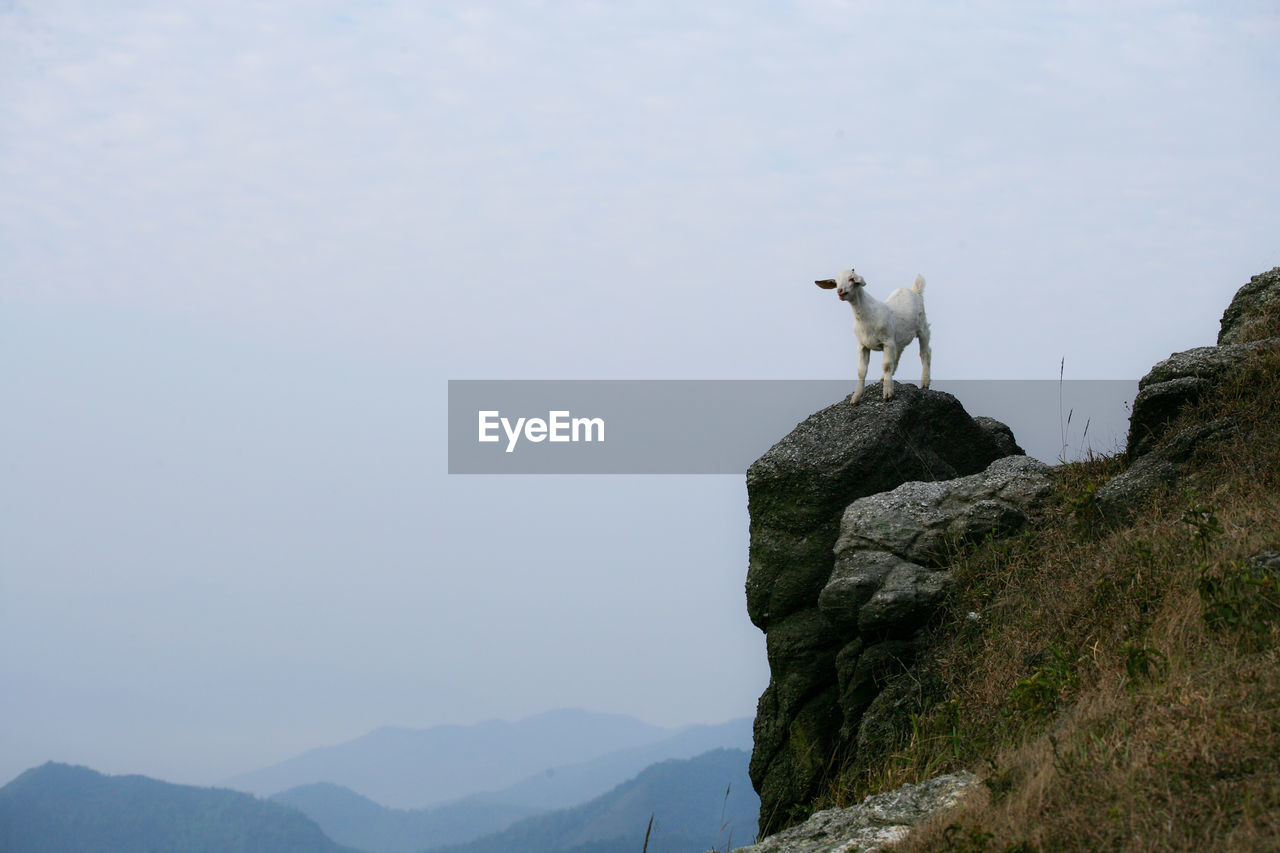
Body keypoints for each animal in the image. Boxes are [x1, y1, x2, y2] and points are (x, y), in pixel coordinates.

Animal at [819, 268, 931, 404]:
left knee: (925, 352)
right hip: (899, 338)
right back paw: (884, 378)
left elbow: (886, 365)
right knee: (898, 354)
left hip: (923, 327)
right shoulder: (863, 345)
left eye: (851, 279)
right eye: (836, 282)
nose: (840, 291)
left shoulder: (887, 341)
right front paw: (855, 398)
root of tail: (914, 290)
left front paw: (887, 394)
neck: (867, 316)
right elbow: (861, 371)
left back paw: (925, 382)